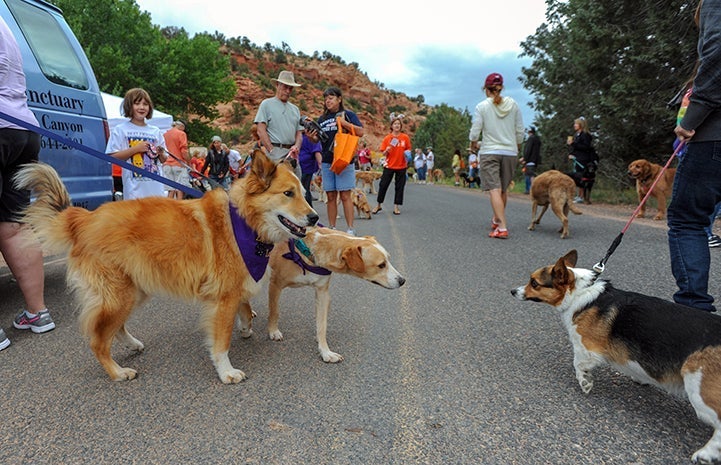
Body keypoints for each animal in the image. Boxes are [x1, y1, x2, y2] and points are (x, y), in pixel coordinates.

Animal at [13, 150, 318, 382]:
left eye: (304, 193)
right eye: (288, 193)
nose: (315, 218)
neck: (243, 220)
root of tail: (83, 218)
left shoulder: (235, 287)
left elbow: (245, 307)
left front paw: (245, 325)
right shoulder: (223, 298)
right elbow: (221, 341)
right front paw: (226, 371)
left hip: (132, 291)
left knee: (112, 328)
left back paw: (132, 345)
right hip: (119, 294)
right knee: (97, 340)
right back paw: (117, 372)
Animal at [512, 250, 721, 464]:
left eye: (534, 283)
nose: (513, 291)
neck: (580, 292)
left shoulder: (586, 347)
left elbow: (578, 364)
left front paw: (585, 382)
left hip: (699, 391)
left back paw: (704, 454)